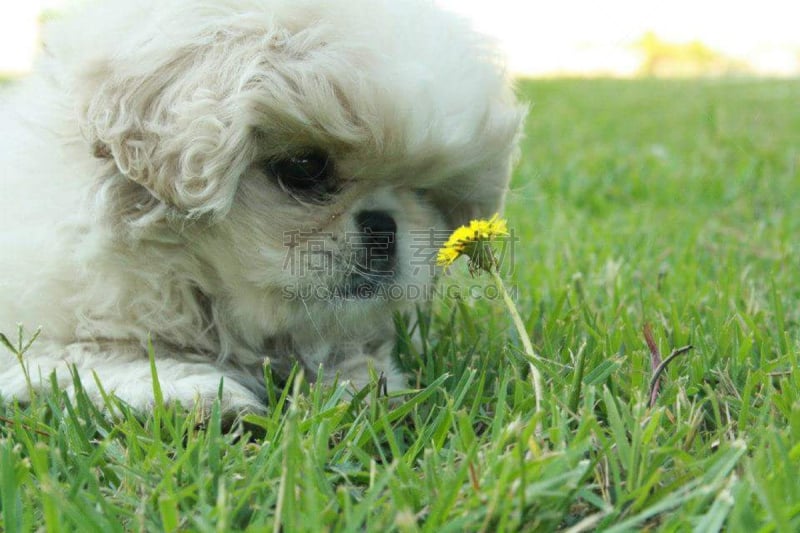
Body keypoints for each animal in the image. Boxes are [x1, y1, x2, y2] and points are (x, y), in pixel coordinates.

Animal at [0, 0, 524, 412]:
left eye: (423, 192)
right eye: (305, 166)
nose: (384, 227)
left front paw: (362, 385)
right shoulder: (34, 340)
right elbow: (99, 353)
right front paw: (188, 392)